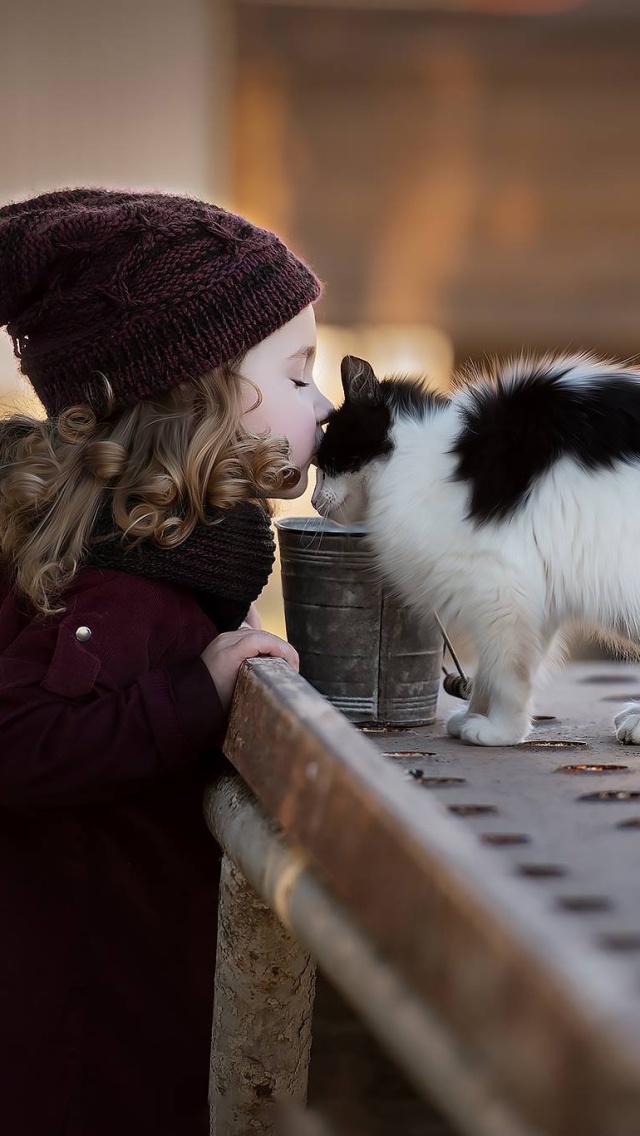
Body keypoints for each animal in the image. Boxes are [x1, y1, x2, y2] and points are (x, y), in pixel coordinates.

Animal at [311, 354, 640, 745]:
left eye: (325, 464)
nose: (313, 500)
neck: (419, 458)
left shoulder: (503, 592)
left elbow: (508, 674)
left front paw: (502, 730)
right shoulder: (531, 599)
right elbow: (491, 672)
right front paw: (474, 715)